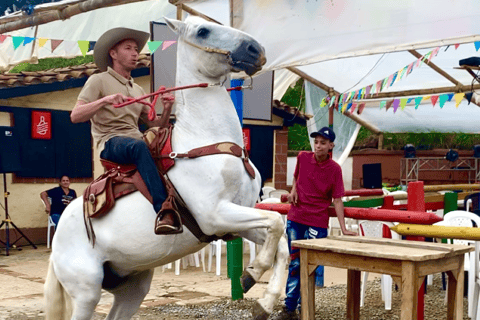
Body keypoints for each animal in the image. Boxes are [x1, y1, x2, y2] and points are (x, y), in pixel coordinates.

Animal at [45, 16, 288, 320]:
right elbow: (277, 222)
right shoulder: (215, 215)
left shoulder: (237, 218)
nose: (256, 49)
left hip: (133, 286)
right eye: (202, 31)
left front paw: (261, 299)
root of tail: (57, 241)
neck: (205, 141)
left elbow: (282, 240)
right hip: (86, 293)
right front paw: (252, 273)